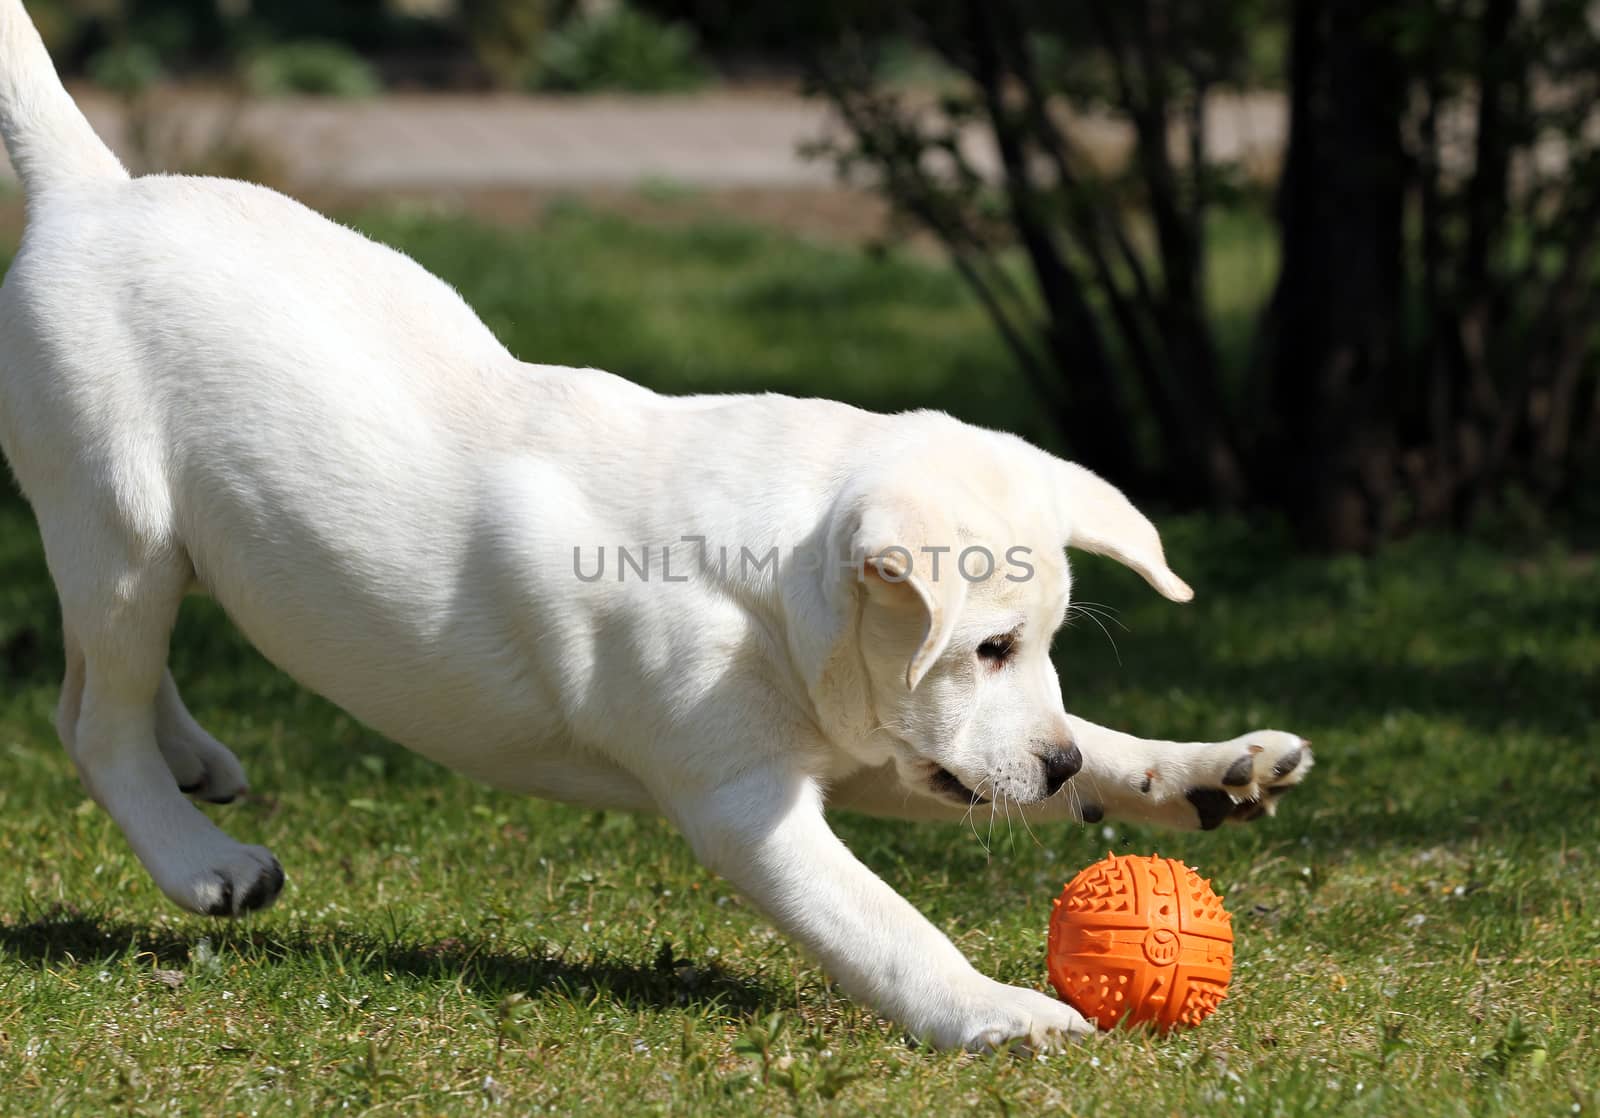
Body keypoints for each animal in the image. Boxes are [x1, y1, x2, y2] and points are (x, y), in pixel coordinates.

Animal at [0, 0, 1305, 1055]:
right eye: (985, 646)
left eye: (1035, 649)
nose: (1056, 768)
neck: (776, 589)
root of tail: (89, 190)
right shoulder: (745, 800)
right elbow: (881, 919)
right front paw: (997, 1008)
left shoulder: (870, 745)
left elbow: (1087, 745)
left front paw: (1201, 770)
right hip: (118, 523)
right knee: (89, 712)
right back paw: (199, 858)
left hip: (150, 549)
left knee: (113, 669)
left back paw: (195, 759)